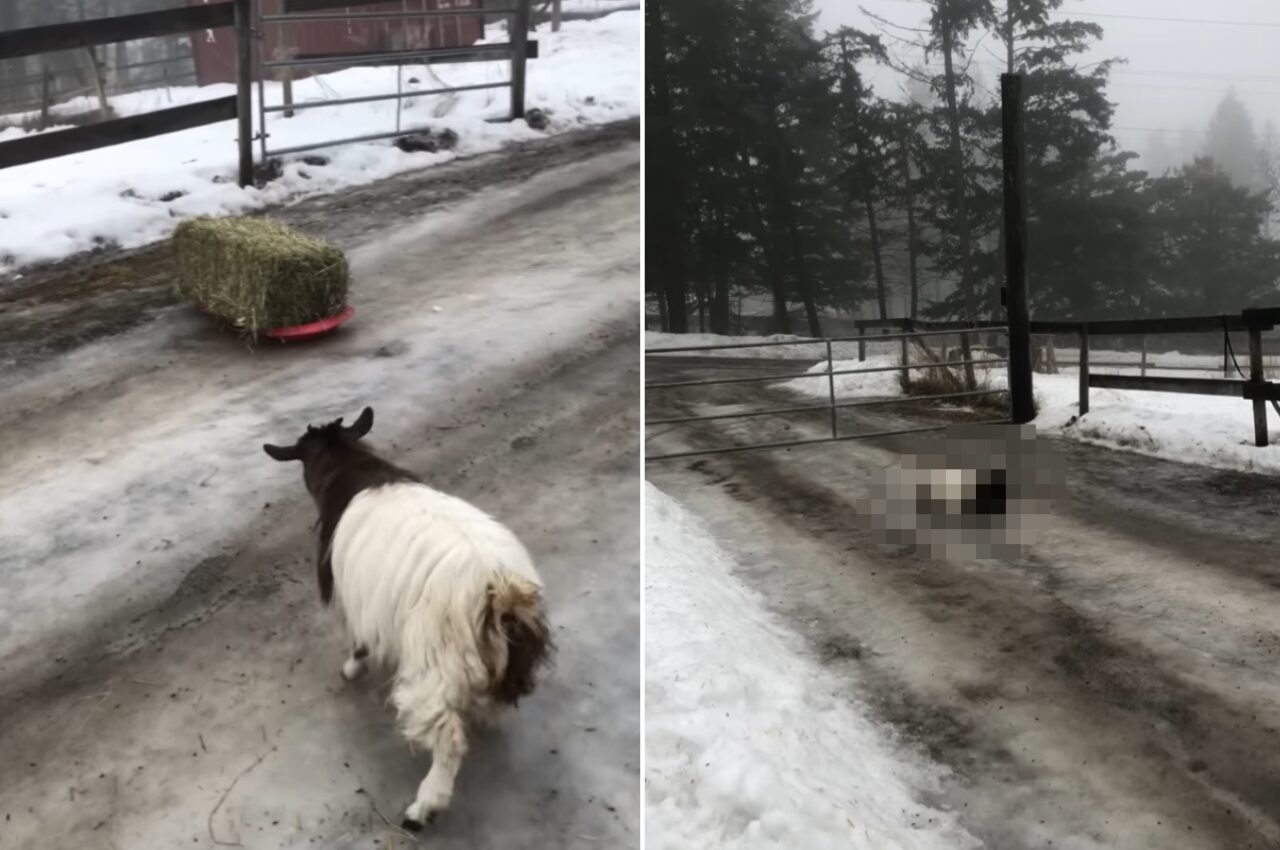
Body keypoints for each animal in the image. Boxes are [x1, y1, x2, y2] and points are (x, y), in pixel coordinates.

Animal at [262, 409, 552, 829]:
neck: (356, 470)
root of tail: (502, 593)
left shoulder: (353, 597)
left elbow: (357, 640)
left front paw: (351, 669)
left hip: (434, 667)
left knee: (448, 740)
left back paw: (423, 809)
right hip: (506, 662)